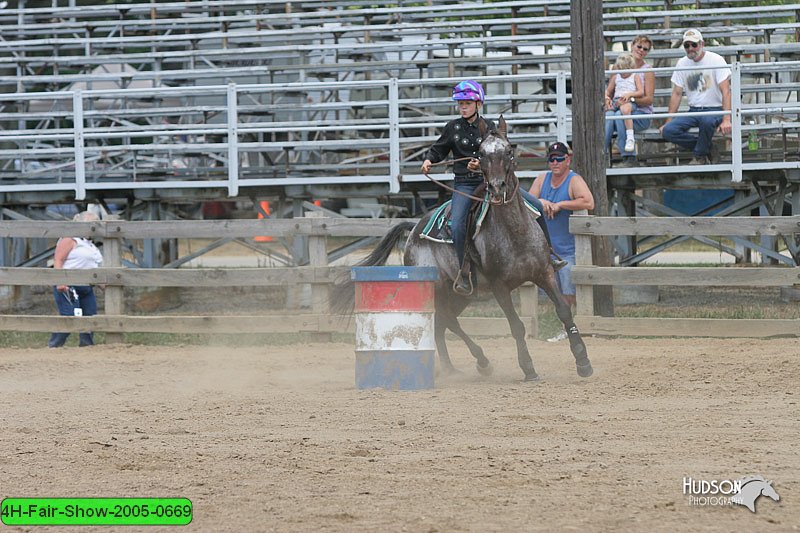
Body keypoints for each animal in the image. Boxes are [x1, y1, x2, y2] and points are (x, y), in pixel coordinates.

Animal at [334, 116, 592, 380]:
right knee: (448, 321)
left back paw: (451, 368)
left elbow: (564, 311)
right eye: (481, 153)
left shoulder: (544, 273)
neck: (515, 233)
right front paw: (528, 368)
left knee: (441, 325)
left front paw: (583, 361)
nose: (497, 188)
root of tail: (414, 228)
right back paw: (481, 362)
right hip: (437, 288)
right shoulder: (500, 287)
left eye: (509, 151)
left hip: (460, 295)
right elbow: (516, 326)